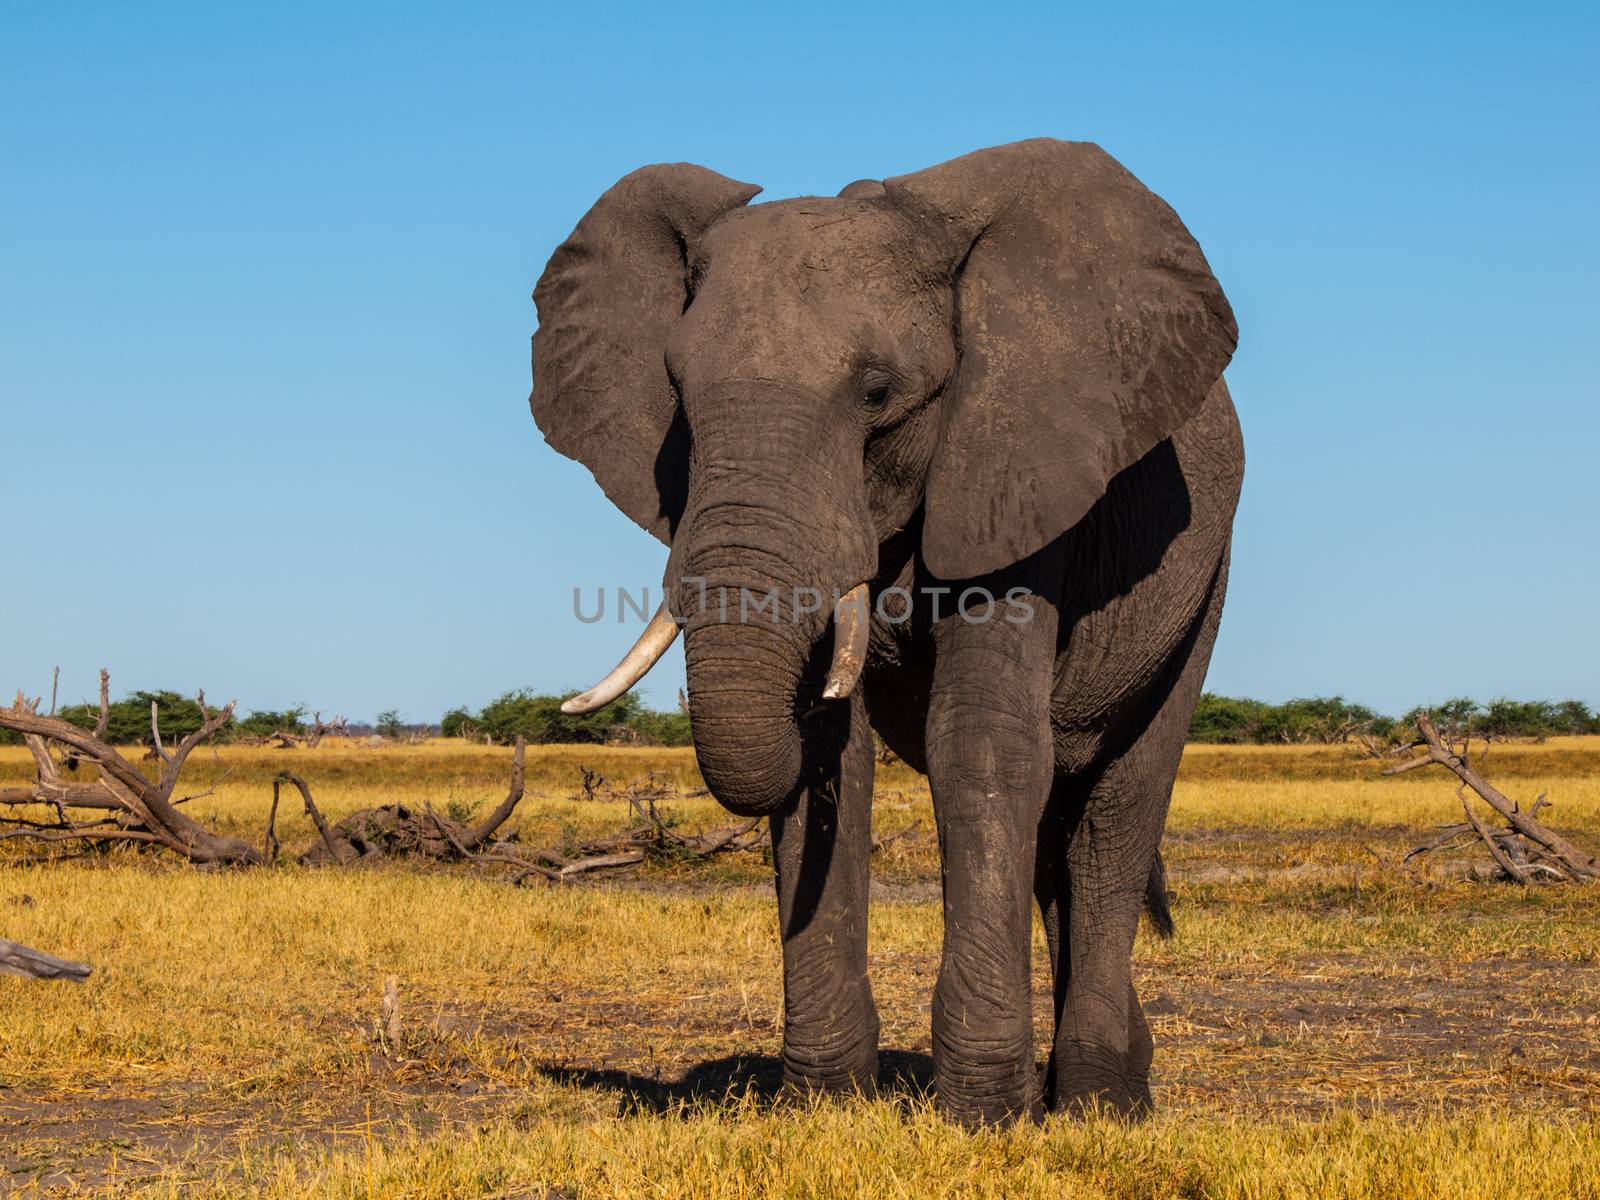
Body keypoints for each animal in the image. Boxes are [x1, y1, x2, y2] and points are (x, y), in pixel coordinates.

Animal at [531, 140, 1241, 1126]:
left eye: (877, 394)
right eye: (676, 392)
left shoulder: (1015, 466)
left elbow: (981, 746)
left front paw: (984, 1117)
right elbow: (836, 756)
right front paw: (825, 1108)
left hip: (1202, 577)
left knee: (1117, 810)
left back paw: (1100, 1103)